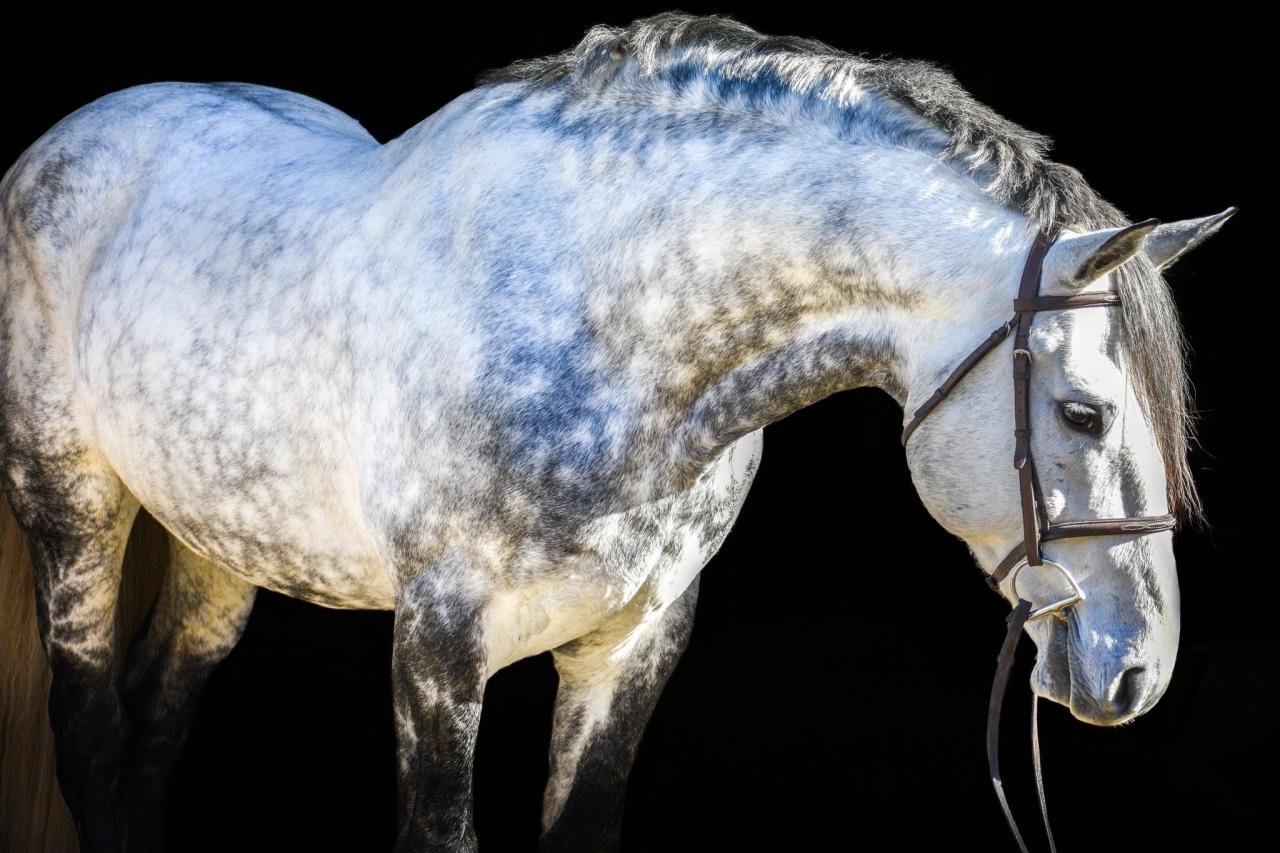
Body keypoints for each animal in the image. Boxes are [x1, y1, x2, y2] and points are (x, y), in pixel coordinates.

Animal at [0, 11, 1235, 852]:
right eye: (1083, 412)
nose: (1138, 668)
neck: (601, 318)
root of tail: (57, 144)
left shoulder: (635, 640)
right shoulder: (437, 644)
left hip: (221, 542)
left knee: (156, 724)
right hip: (72, 506)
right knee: (93, 729)